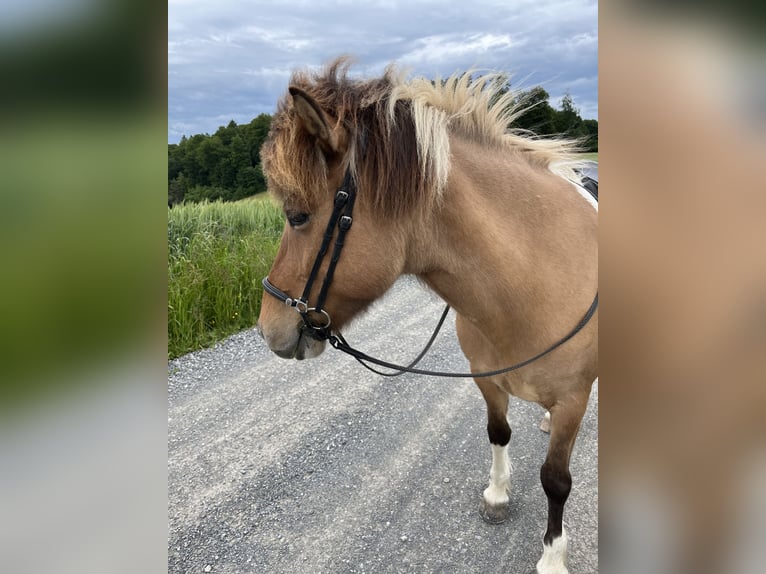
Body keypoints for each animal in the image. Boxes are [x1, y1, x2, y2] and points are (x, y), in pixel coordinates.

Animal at [257, 57, 597, 574]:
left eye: (297, 217)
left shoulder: (574, 400)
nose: (266, 328)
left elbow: (556, 479)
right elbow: (498, 432)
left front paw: (553, 557)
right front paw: (497, 494)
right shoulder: (485, 379)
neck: (533, 287)